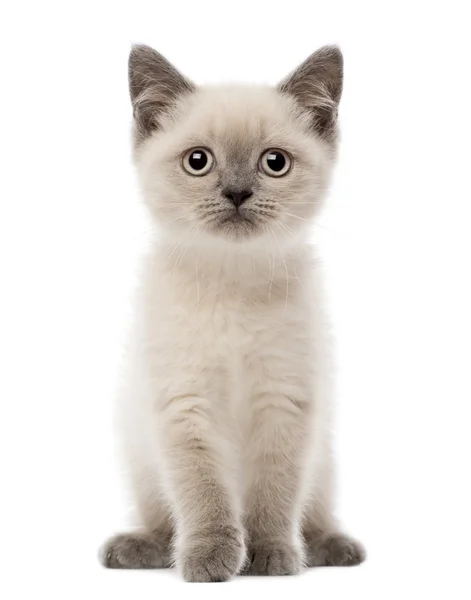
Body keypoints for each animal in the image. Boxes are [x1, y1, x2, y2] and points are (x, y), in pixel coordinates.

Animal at [99, 43, 366, 580]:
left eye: (275, 163)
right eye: (198, 161)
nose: (238, 193)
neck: (232, 279)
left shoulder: (284, 401)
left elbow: (274, 494)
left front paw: (269, 555)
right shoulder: (186, 404)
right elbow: (204, 494)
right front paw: (210, 558)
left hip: (323, 462)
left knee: (314, 514)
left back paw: (329, 548)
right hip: (143, 461)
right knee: (163, 520)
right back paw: (142, 548)